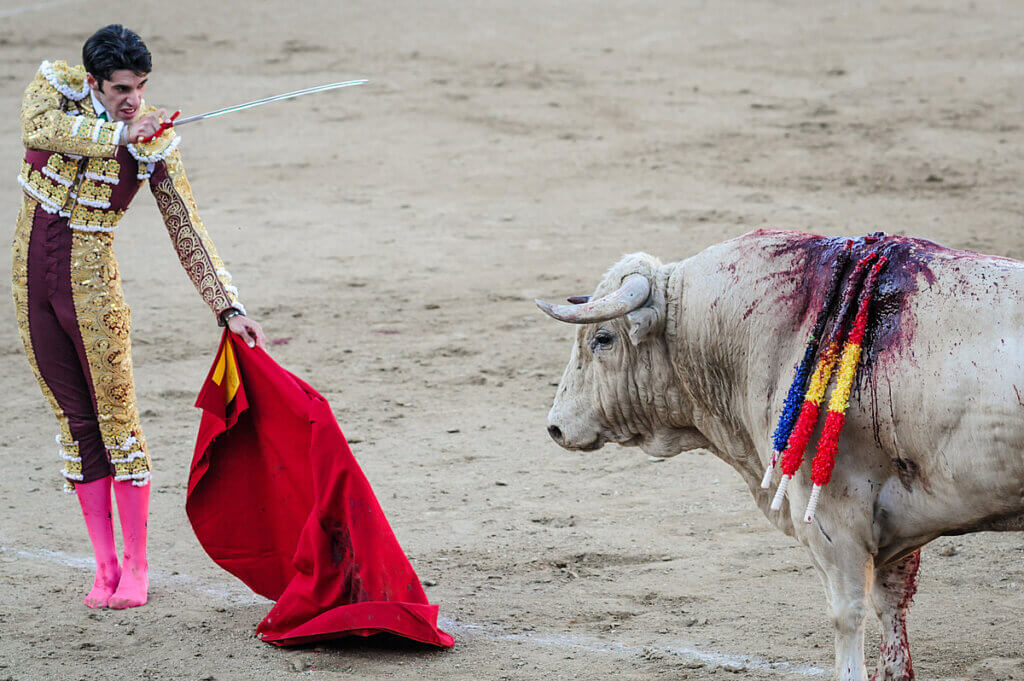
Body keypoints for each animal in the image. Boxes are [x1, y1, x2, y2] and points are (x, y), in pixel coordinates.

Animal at [532, 229, 1024, 679]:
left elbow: (847, 615)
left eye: (602, 339)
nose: (555, 426)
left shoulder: (833, 520)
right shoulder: (899, 525)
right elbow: (892, 607)